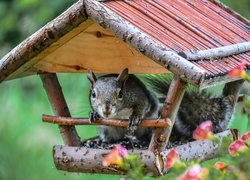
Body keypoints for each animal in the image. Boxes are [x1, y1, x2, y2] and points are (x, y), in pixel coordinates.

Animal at [86, 68, 234, 146]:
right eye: (93, 94)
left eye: (120, 94)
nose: (106, 110)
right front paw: (93, 114)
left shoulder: (139, 96)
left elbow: (142, 106)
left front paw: (134, 118)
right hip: (106, 130)